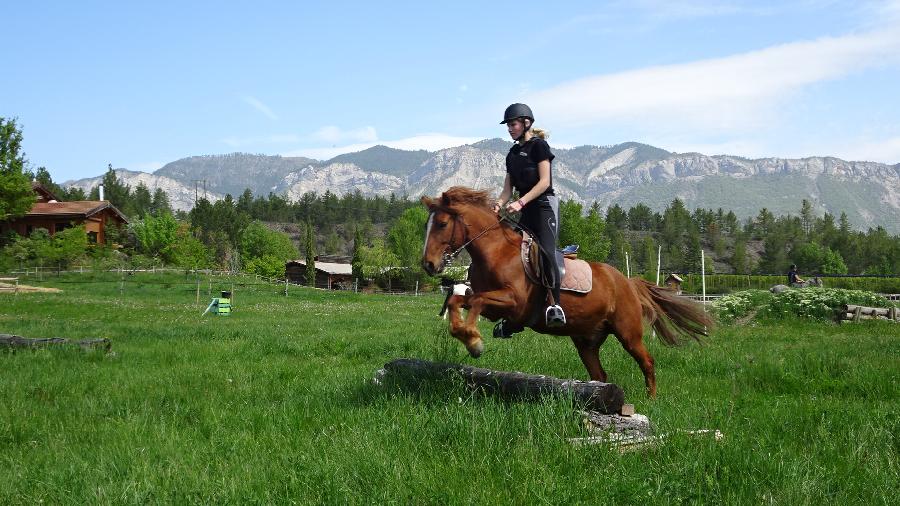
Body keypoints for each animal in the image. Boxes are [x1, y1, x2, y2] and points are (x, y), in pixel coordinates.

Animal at [418, 186, 712, 396]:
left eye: (442, 224)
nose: (428, 265)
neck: (496, 252)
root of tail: (627, 281)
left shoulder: (514, 303)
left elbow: (476, 301)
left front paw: (474, 341)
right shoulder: (491, 306)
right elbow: (458, 300)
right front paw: (466, 336)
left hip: (627, 333)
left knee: (647, 362)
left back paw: (651, 399)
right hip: (586, 341)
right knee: (599, 375)